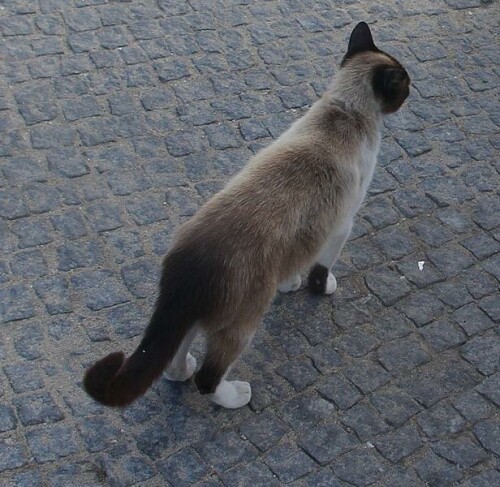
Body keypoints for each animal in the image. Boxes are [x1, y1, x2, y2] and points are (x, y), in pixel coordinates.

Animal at [83, 23, 410, 412]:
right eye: (404, 83)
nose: (412, 89)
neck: (347, 110)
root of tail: (189, 261)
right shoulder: (341, 224)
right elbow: (321, 268)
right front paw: (319, 288)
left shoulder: (307, 234)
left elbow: (297, 262)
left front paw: (291, 283)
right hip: (244, 320)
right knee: (207, 377)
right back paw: (235, 395)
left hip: (194, 314)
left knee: (175, 356)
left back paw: (181, 371)